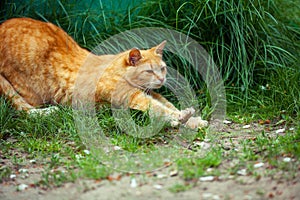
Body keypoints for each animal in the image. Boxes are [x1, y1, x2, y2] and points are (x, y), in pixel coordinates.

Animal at [0, 18, 209, 129]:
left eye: (163, 68)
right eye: (150, 70)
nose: (162, 78)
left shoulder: (149, 93)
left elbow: (168, 105)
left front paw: (193, 119)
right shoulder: (131, 97)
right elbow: (159, 109)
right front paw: (179, 118)